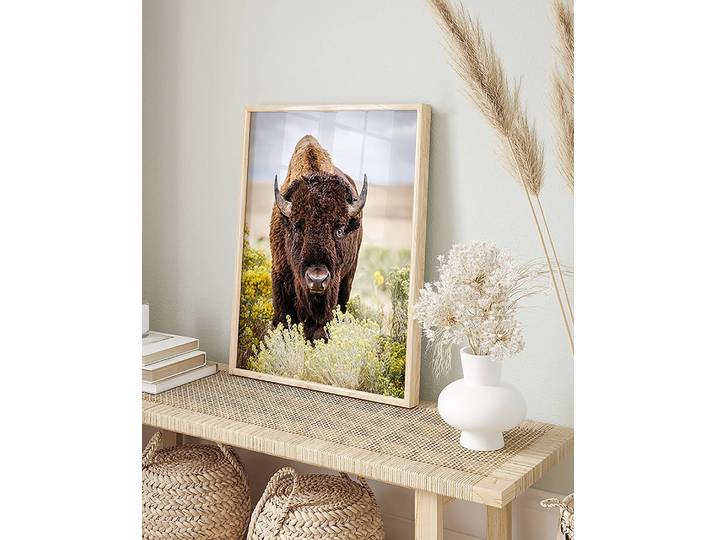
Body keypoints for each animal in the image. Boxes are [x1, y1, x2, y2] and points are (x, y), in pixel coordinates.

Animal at [269, 135, 367, 340]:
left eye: (339, 229)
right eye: (298, 228)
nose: (317, 279)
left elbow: (318, 329)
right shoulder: (279, 277)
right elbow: (283, 321)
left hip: (348, 278)